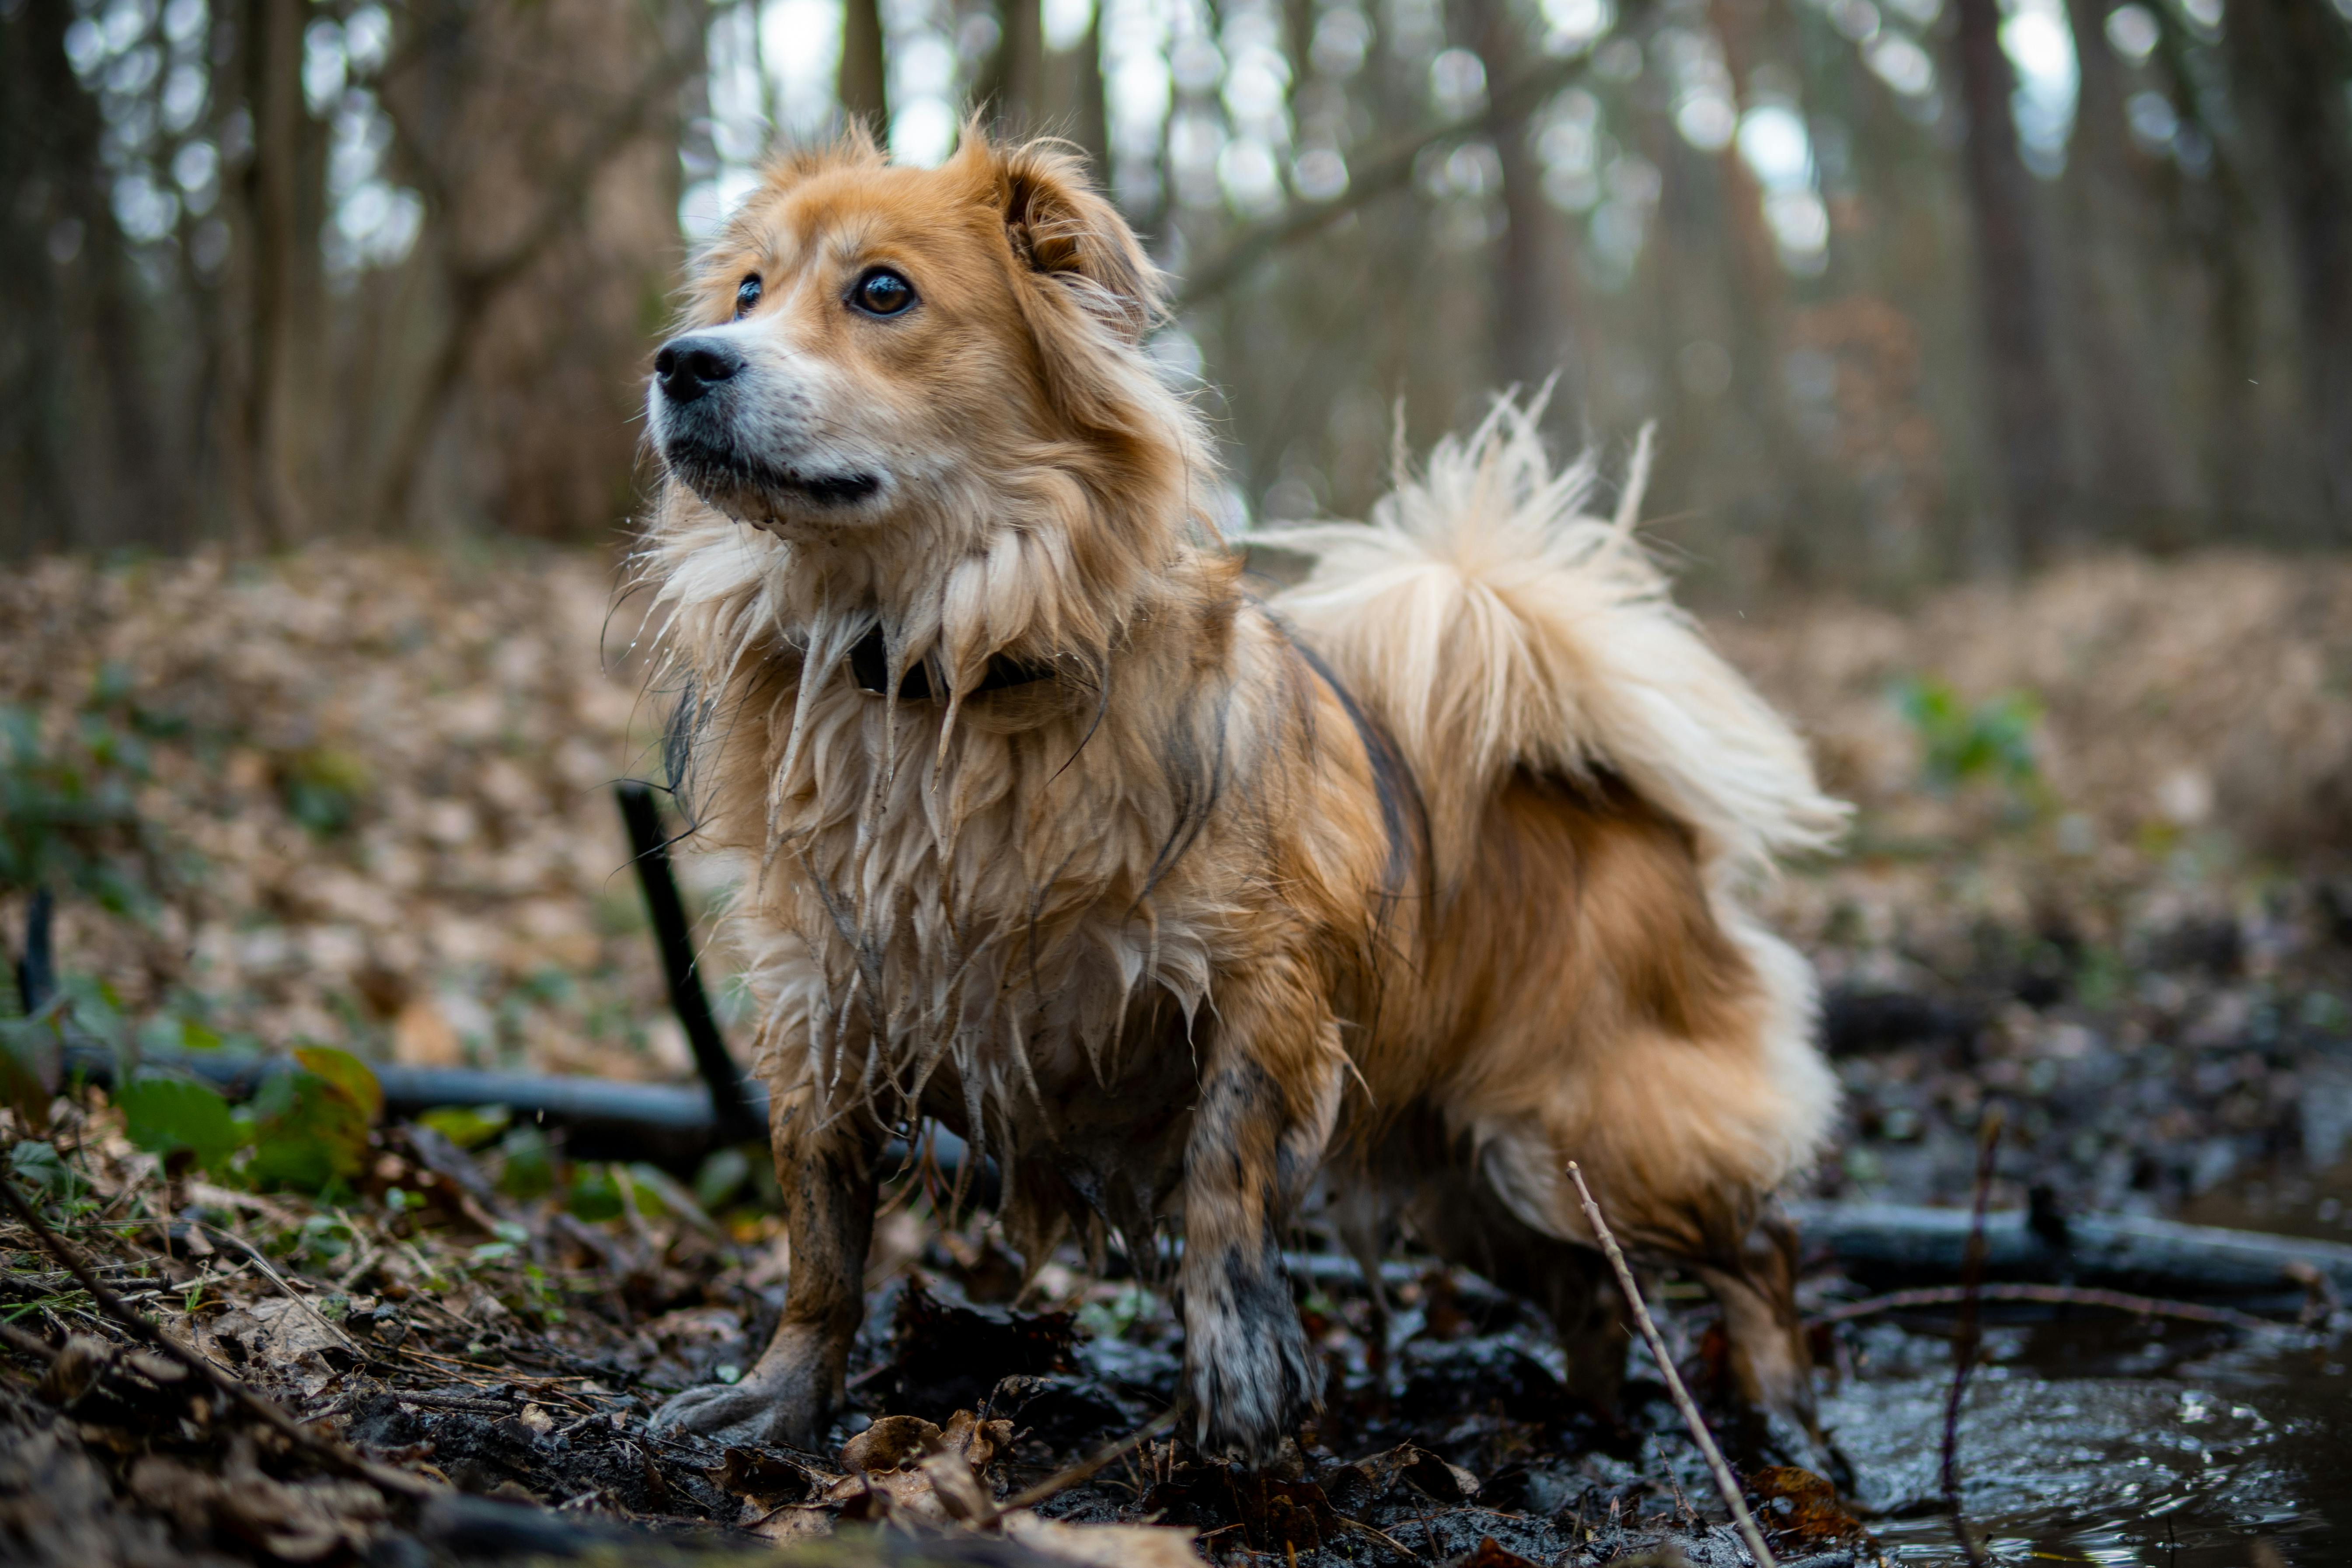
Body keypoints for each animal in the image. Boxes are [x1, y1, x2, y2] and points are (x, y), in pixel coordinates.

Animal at [635, 129, 1844, 1467]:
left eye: (882, 292)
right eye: (748, 291)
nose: (684, 360)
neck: (930, 665)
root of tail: (1626, 805)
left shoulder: (1259, 993)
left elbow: (1224, 1180)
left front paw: (1236, 1384)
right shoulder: (823, 1006)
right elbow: (821, 1230)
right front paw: (778, 1395)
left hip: (1582, 1133)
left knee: (1760, 1244)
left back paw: (1781, 1415)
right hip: (1471, 1171)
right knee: (1589, 1289)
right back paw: (1597, 1423)